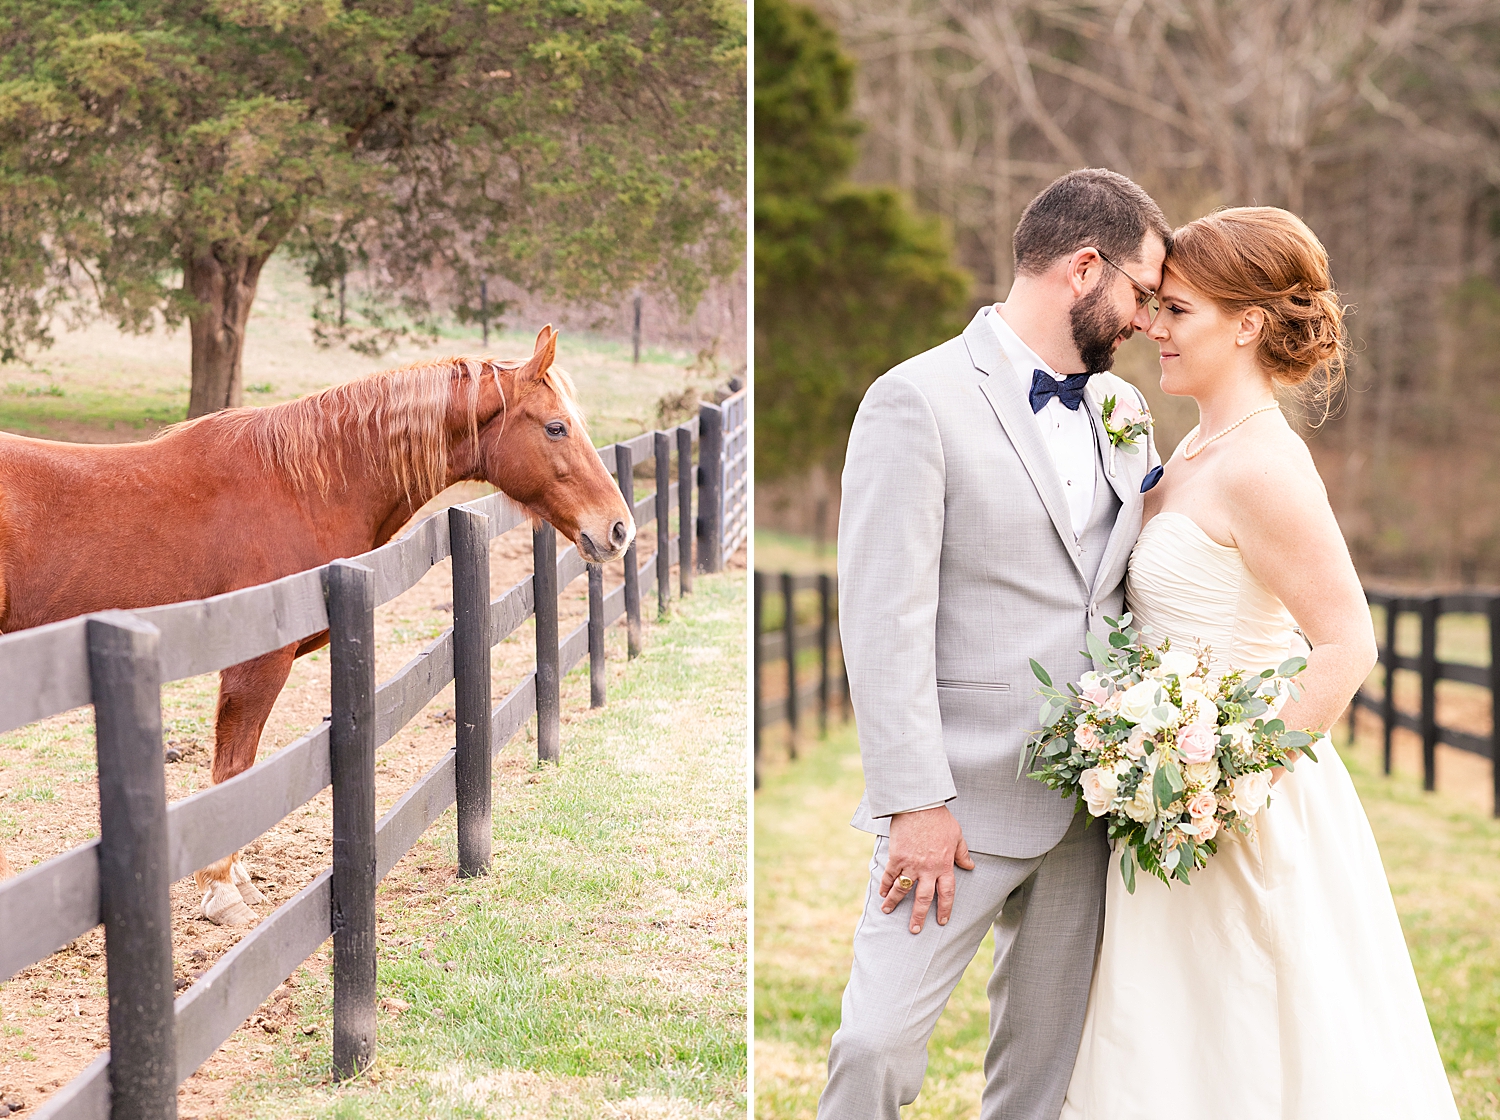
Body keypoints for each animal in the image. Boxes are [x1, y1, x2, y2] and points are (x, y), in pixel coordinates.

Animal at [0, 323, 633, 917]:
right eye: (556, 428)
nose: (619, 528)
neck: (299, 485)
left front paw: (235, 877)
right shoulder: (255, 663)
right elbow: (234, 770)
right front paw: (222, 889)